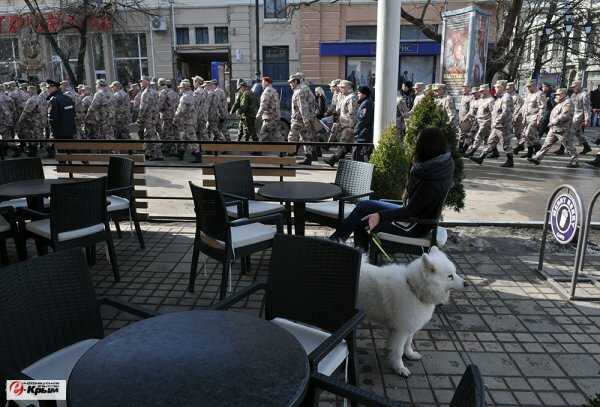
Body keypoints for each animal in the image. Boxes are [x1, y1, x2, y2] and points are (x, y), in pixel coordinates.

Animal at [358, 247, 466, 378]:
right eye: (450, 276)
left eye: (455, 273)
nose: (466, 283)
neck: (414, 290)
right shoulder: (401, 331)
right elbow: (398, 351)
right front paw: (399, 368)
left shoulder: (410, 326)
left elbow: (408, 342)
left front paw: (410, 354)